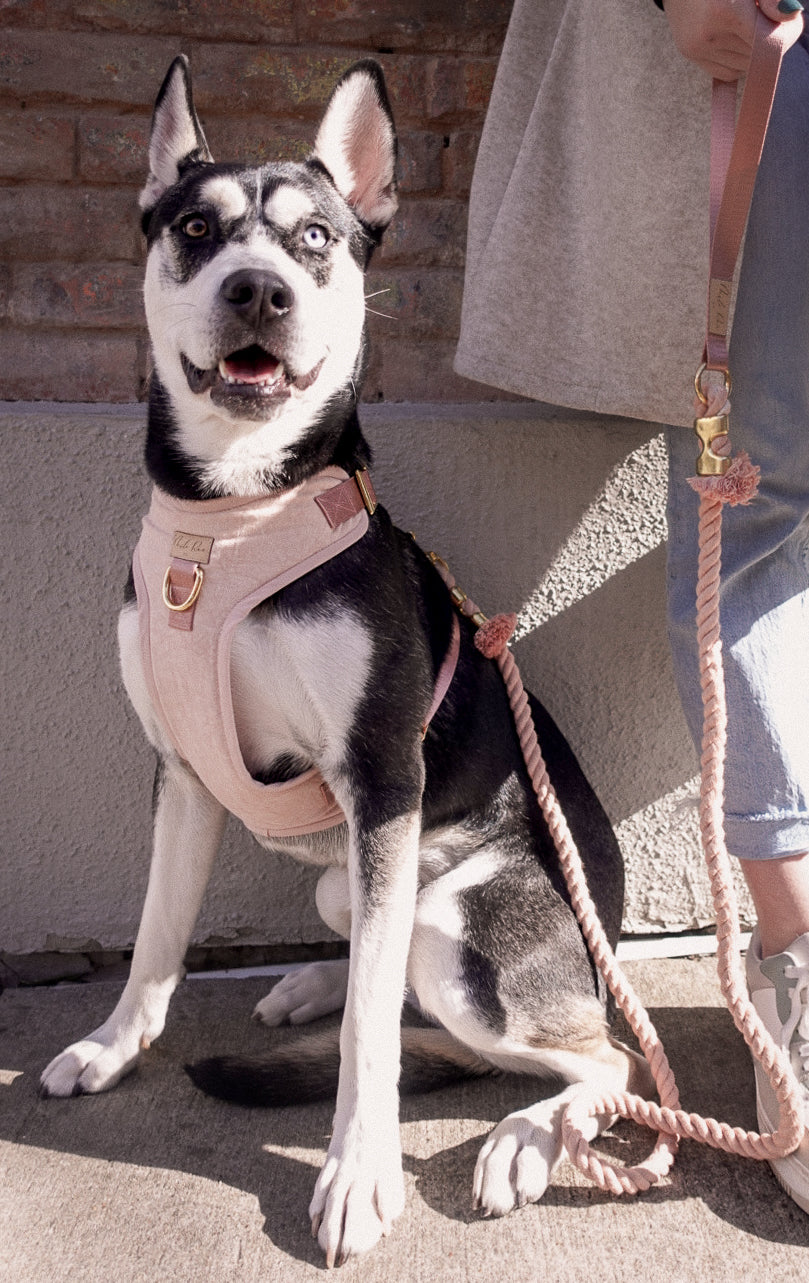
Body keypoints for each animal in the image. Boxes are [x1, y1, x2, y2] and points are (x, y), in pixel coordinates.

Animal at [42, 57, 651, 1262]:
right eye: (194, 228)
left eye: (316, 237)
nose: (258, 291)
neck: (233, 512)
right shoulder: (182, 775)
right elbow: (154, 937)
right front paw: (114, 1044)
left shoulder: (380, 773)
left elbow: (376, 1032)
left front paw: (357, 1171)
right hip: (357, 875)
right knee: (378, 944)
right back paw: (313, 983)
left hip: (461, 933)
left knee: (584, 1049)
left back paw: (524, 1136)